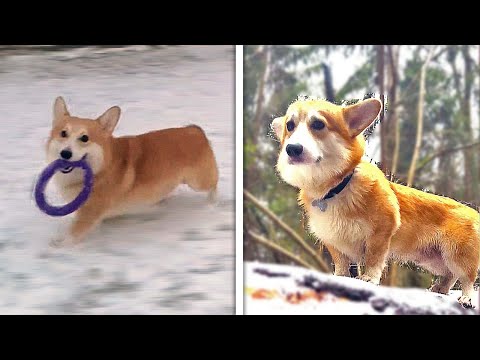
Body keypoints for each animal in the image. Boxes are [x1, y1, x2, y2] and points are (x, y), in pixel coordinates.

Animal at [46, 97, 218, 246]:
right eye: (63, 133)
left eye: (84, 138)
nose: (65, 154)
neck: (99, 169)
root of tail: (195, 130)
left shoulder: (89, 212)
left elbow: (73, 234)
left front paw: (58, 245)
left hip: (197, 182)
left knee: (213, 184)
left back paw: (212, 204)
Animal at [274, 97, 480, 308]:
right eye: (290, 126)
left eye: (318, 124)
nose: (292, 149)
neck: (336, 187)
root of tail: (475, 213)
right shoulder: (333, 240)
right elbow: (341, 264)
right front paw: (340, 276)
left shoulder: (381, 232)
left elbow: (374, 258)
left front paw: (369, 278)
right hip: (434, 260)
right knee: (449, 275)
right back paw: (439, 289)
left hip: (457, 255)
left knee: (466, 278)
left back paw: (467, 298)